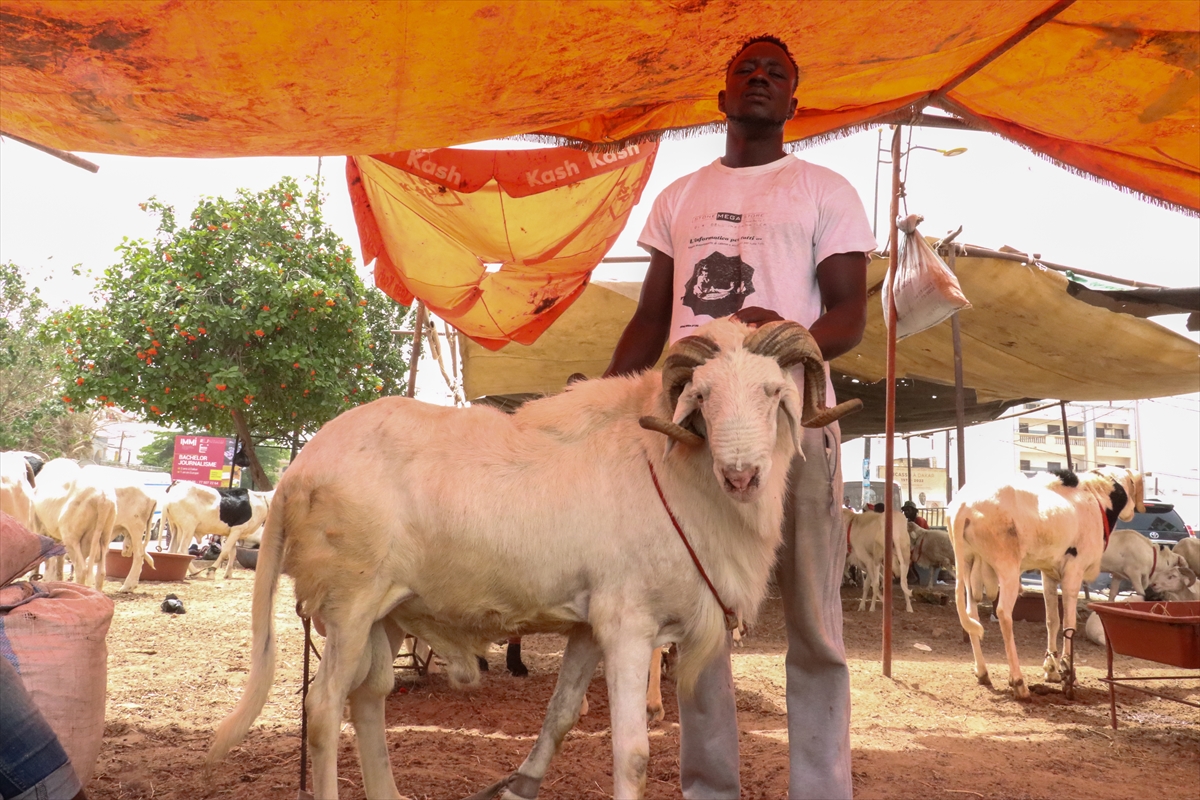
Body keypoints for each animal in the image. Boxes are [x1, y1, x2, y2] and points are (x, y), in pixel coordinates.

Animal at [208, 319, 864, 800]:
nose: (742, 474)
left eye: (774, 394)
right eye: (702, 396)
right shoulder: (628, 625)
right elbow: (632, 753)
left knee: (368, 699)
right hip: (348, 605)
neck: (669, 470)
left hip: (387, 613)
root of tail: (300, 467)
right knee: (323, 709)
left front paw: (521, 782)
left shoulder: (590, 626)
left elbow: (562, 713)